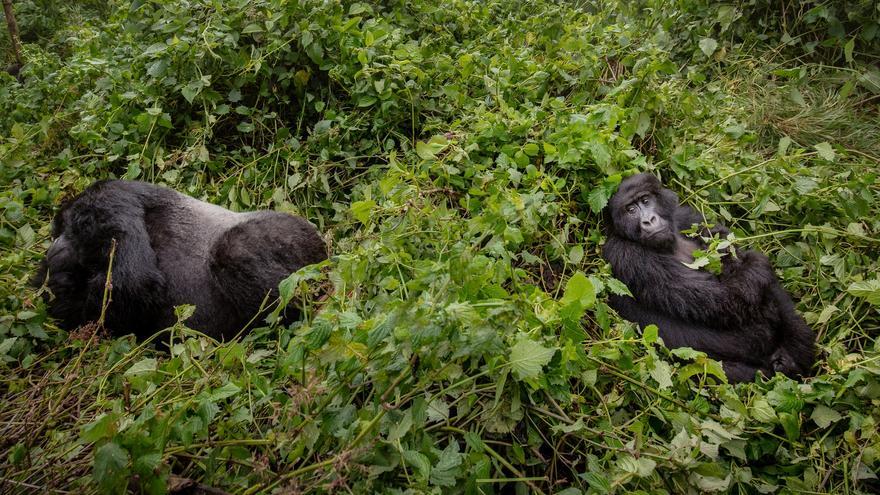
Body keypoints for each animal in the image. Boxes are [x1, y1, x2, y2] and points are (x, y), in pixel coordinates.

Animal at [33, 181, 330, 340]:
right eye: (57, 232)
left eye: (69, 229)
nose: (54, 248)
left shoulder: (108, 199)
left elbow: (134, 282)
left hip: (298, 241)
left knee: (234, 250)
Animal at [600, 174, 816, 384]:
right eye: (630, 210)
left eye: (646, 200)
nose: (649, 220)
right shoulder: (627, 254)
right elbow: (723, 299)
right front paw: (757, 263)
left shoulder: (687, 216)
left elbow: (726, 249)